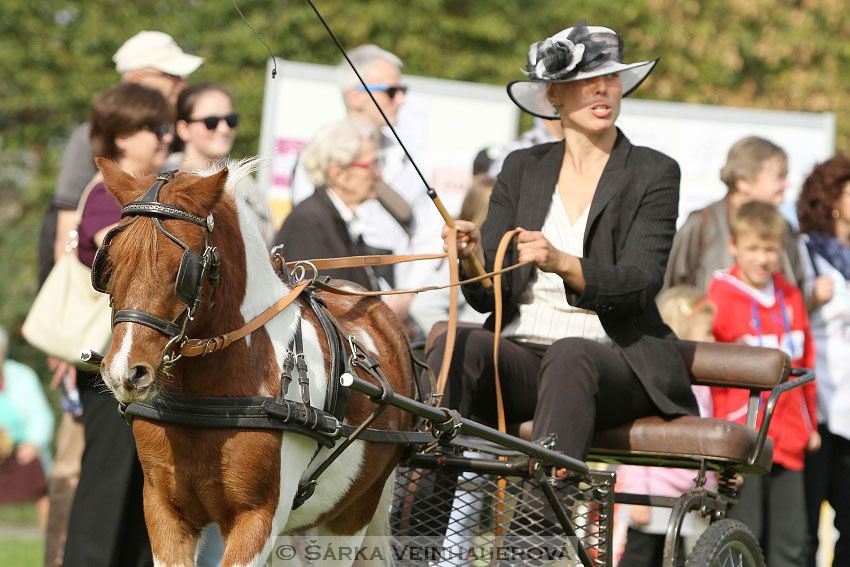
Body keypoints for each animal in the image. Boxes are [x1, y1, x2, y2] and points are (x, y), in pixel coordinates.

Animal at [93, 160, 418, 567]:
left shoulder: (258, 517)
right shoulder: (163, 510)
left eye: (181, 270)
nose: (125, 371)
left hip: (352, 512)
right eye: (109, 264)